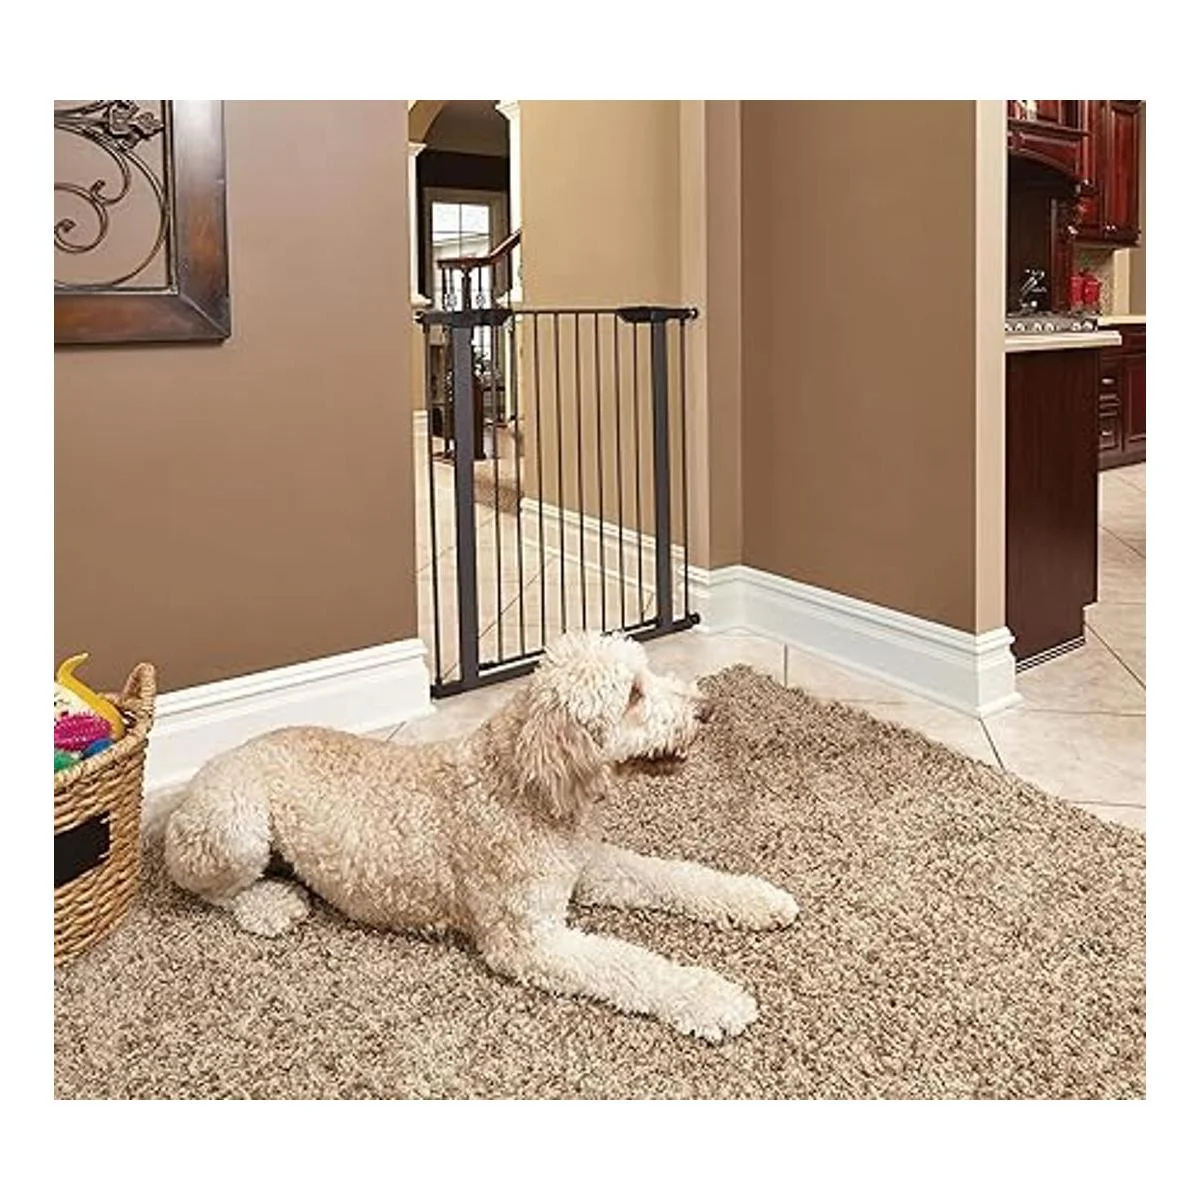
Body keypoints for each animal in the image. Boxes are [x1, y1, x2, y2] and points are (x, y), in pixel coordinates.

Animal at [165, 631, 799, 1042]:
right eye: (633, 695)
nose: (706, 709)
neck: (522, 784)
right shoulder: (529, 939)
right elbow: (631, 966)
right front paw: (714, 998)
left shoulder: (585, 867)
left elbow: (673, 874)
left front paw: (756, 898)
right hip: (236, 829)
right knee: (208, 890)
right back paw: (271, 904)